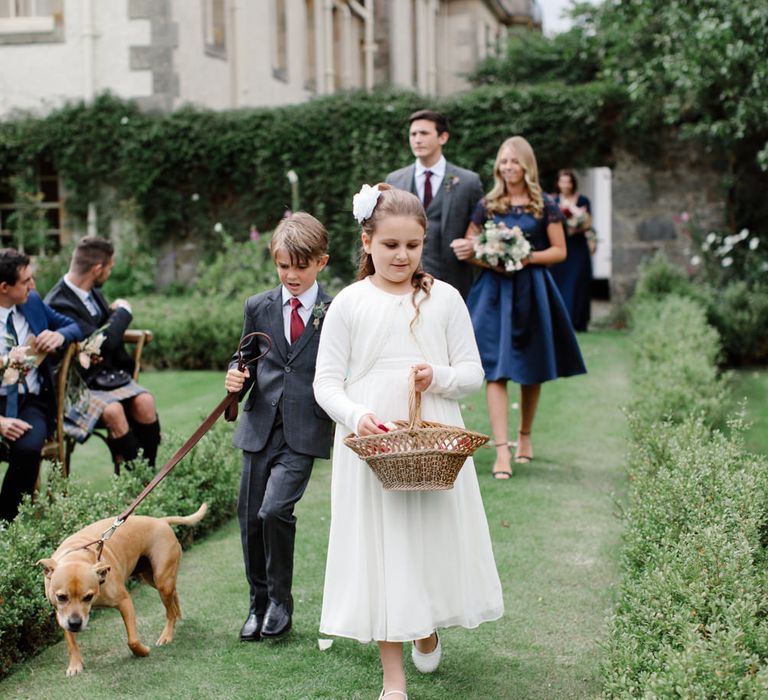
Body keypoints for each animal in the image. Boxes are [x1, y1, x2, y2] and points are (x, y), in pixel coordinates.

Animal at [38, 500, 207, 676]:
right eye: (61, 597)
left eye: (88, 597)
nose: (75, 623)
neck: (78, 556)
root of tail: (160, 521)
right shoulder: (61, 614)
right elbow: (71, 643)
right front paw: (75, 664)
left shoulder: (124, 601)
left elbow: (132, 640)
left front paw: (142, 652)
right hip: (151, 578)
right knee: (174, 593)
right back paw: (177, 614)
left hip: (162, 580)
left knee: (169, 609)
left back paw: (167, 633)